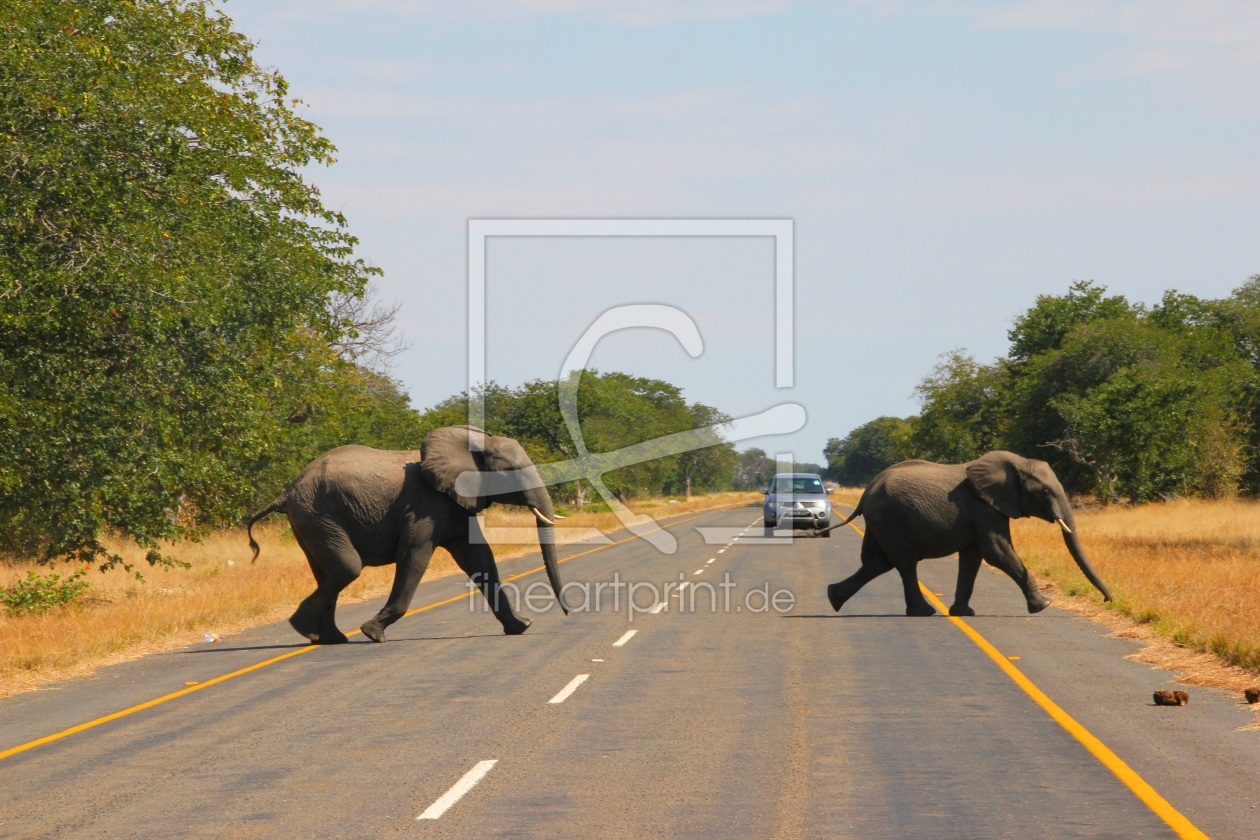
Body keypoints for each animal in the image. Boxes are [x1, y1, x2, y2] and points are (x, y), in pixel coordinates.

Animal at [248, 423, 569, 649]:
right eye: (510, 472)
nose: (567, 613)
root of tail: (288, 490)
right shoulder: (424, 506)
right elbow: (415, 556)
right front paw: (373, 633)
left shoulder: (454, 501)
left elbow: (480, 558)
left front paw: (522, 627)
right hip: (318, 516)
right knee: (346, 568)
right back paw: (303, 627)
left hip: (312, 520)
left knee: (328, 573)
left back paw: (328, 638)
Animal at [816, 453, 1113, 617]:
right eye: (1044, 492)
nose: (1109, 601)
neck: (1014, 462)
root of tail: (867, 491)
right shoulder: (984, 508)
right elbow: (997, 551)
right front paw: (1044, 605)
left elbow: (973, 558)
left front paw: (964, 613)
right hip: (890, 518)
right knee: (904, 563)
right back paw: (924, 613)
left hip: (880, 520)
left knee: (877, 563)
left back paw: (833, 598)